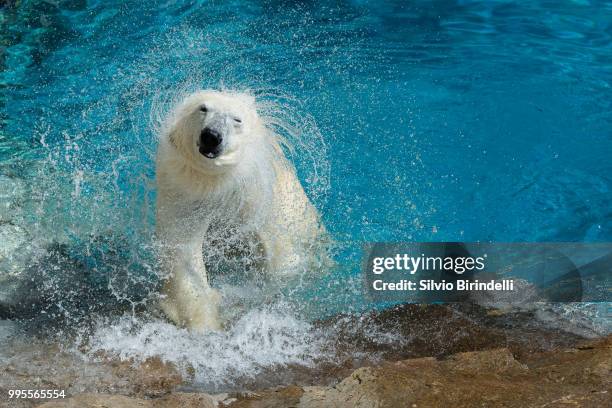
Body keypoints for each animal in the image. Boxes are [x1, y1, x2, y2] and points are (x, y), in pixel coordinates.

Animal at [157, 90, 326, 332]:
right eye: (203, 108)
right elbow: (184, 257)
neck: (218, 184)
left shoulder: (258, 200)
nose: (211, 136)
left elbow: (283, 259)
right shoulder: (186, 196)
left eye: (237, 119)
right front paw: (204, 322)